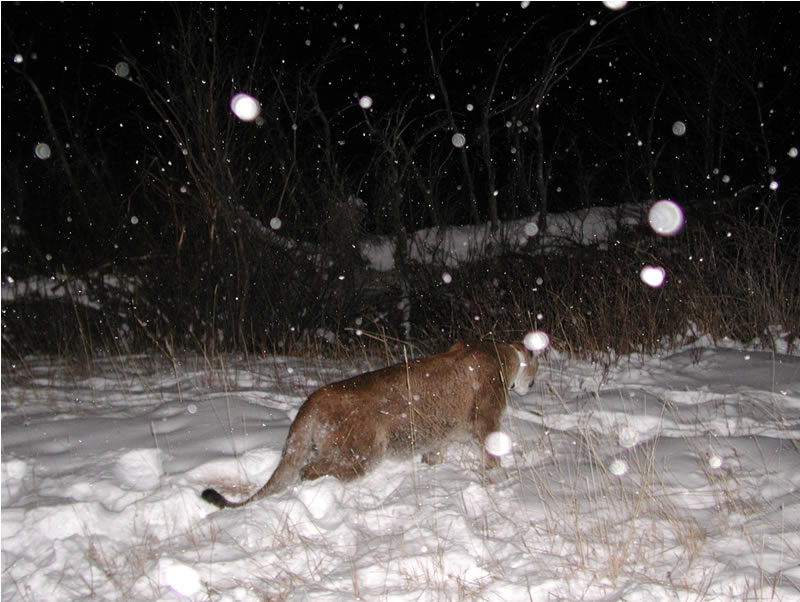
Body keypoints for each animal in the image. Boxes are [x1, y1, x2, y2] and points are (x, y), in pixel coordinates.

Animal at [202, 340, 537, 509]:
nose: (531, 386)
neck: (503, 352)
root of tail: (315, 396)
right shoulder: (486, 420)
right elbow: (492, 453)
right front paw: (498, 479)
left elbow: (437, 449)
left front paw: (433, 464)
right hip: (363, 453)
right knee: (310, 470)